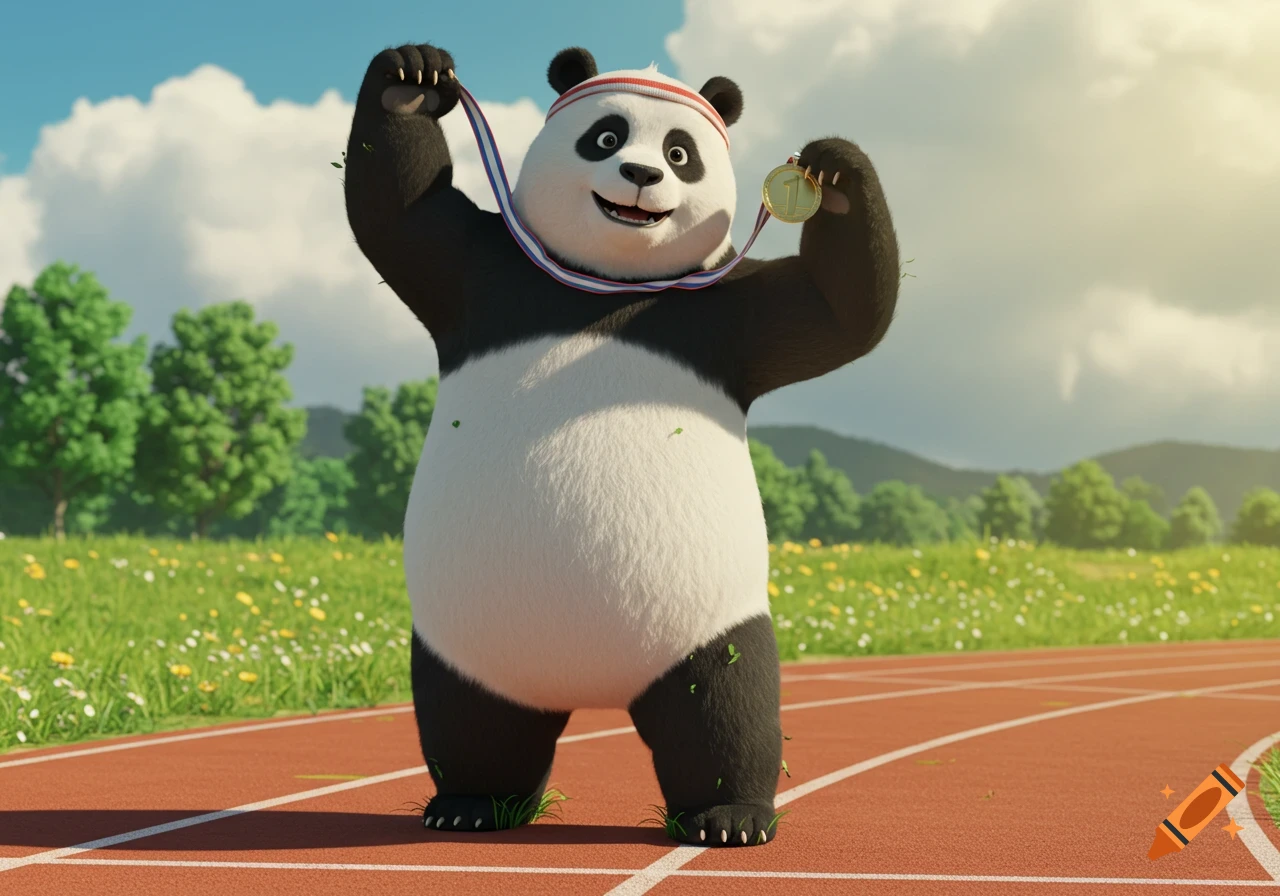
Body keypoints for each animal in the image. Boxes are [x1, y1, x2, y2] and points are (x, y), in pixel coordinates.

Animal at [344, 42, 899, 847]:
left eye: (681, 152)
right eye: (604, 136)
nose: (641, 175)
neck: (609, 284)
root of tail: (591, 685)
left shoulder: (727, 314)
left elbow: (840, 313)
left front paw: (836, 172)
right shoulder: (482, 273)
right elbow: (401, 219)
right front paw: (412, 80)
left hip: (705, 623)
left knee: (725, 708)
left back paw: (727, 817)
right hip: (468, 645)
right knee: (472, 724)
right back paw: (472, 805)